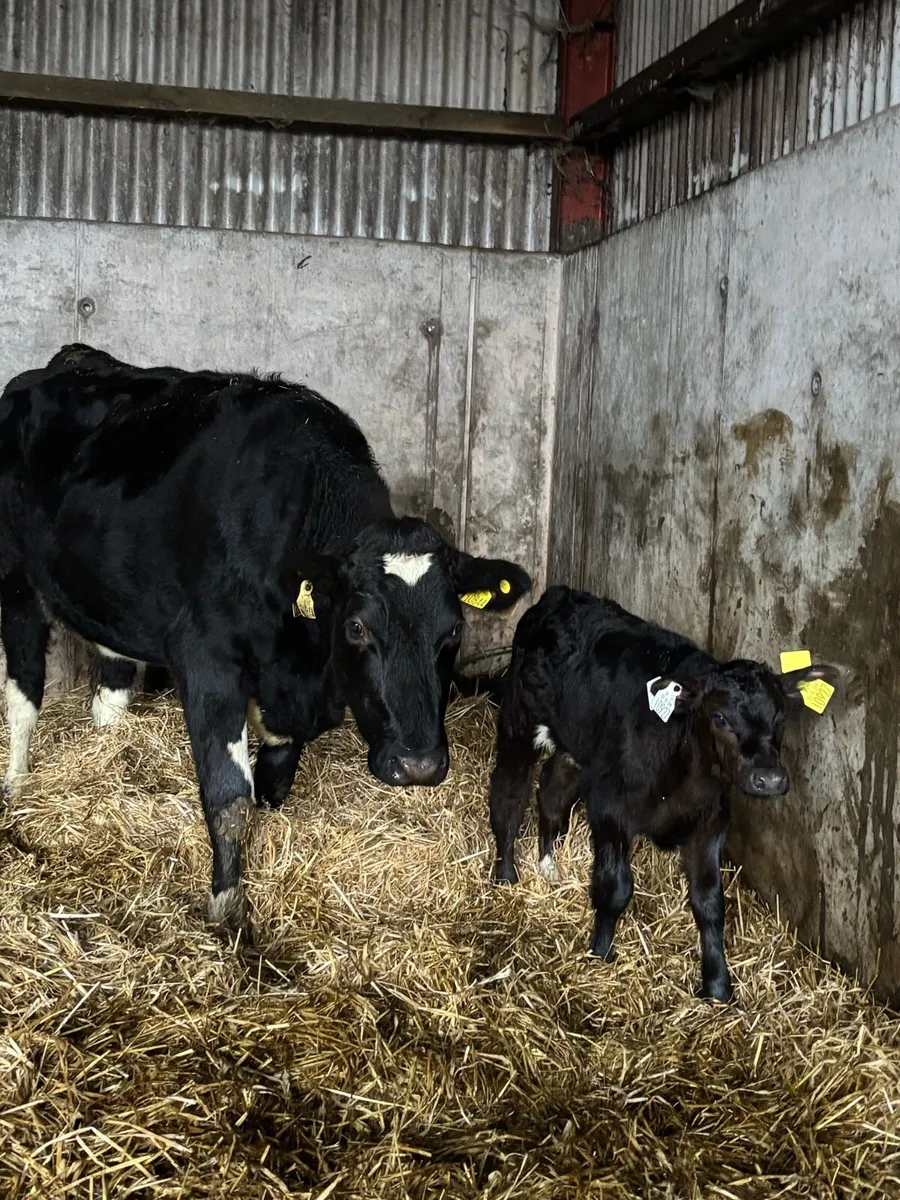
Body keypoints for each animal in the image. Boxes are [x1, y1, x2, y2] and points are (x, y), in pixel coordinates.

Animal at [0, 345, 532, 935]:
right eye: (357, 627)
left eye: (454, 630)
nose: (418, 766)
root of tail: (69, 360)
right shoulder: (206, 660)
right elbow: (231, 797)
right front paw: (228, 911)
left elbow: (275, 777)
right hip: (15, 583)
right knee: (22, 696)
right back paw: (16, 791)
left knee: (109, 696)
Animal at [487, 586, 838, 1002]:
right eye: (720, 718)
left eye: (781, 718)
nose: (767, 778)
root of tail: (559, 595)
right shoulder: (610, 807)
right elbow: (614, 888)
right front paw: (599, 954)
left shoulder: (710, 824)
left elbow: (710, 904)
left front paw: (717, 985)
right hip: (517, 720)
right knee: (509, 795)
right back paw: (506, 875)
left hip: (577, 748)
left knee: (553, 791)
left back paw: (548, 866)